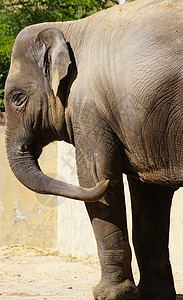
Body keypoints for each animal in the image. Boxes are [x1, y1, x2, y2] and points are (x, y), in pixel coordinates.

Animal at [3, 0, 183, 298]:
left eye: (17, 98)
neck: (68, 29)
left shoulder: (89, 107)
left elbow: (93, 175)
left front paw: (108, 295)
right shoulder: (142, 129)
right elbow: (149, 191)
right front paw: (154, 295)